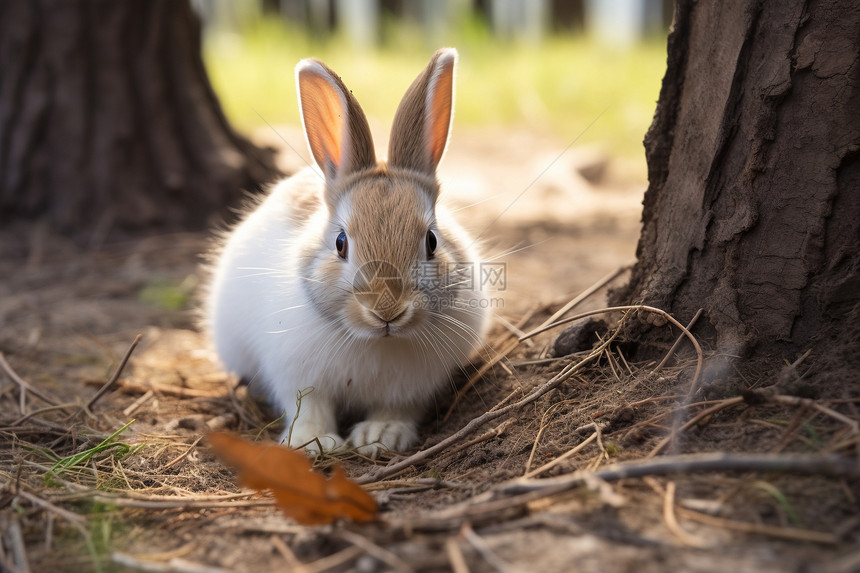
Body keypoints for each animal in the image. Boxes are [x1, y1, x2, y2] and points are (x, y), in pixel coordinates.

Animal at [203, 48, 490, 456]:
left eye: (432, 242)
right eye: (341, 243)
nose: (387, 311)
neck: (376, 340)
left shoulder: (410, 388)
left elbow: (396, 409)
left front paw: (380, 437)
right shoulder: (298, 376)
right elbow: (308, 407)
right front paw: (312, 443)